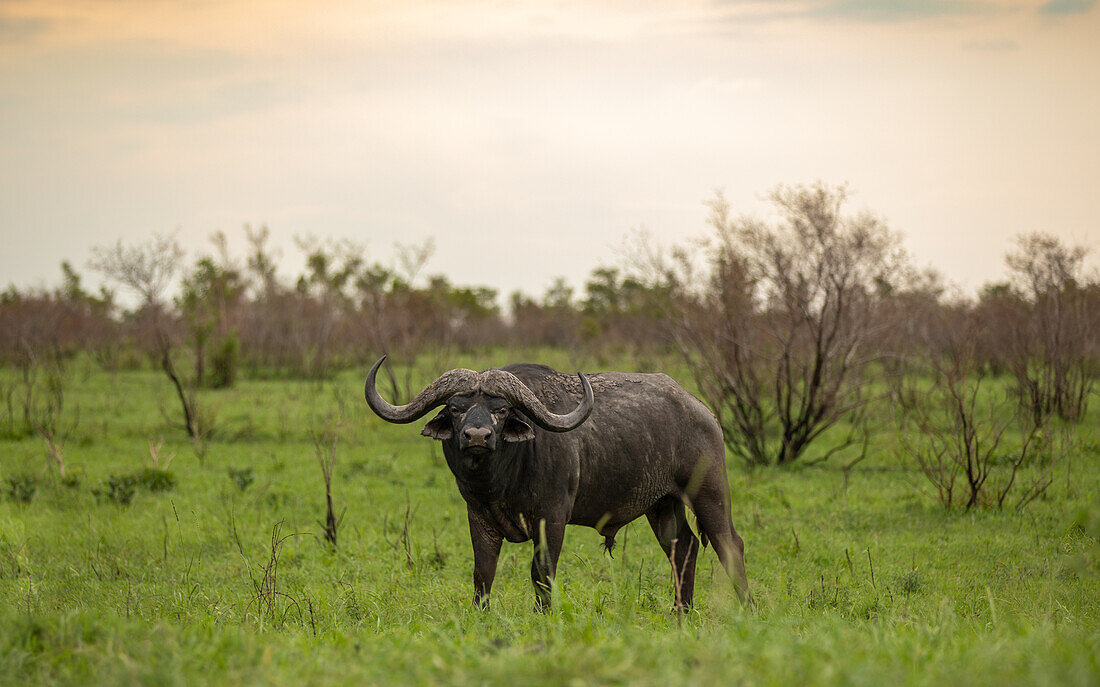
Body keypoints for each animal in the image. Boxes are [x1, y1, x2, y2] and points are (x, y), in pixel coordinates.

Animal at [365, 356, 752, 606]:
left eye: (501, 410)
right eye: (457, 408)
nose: (477, 436)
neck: (501, 481)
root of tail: (702, 410)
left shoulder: (551, 519)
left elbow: (541, 573)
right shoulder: (479, 518)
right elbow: (482, 575)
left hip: (709, 493)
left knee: (730, 544)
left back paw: (746, 611)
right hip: (662, 506)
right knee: (683, 547)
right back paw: (681, 614)